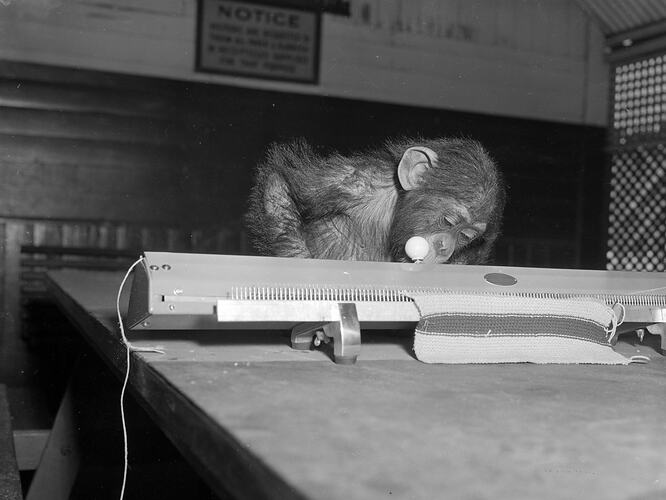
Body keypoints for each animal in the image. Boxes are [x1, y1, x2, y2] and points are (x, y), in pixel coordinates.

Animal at [244, 135, 504, 264]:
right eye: (448, 221)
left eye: (465, 236)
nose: (444, 246)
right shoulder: (354, 180)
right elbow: (280, 182)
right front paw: (299, 258)